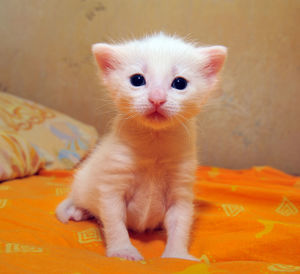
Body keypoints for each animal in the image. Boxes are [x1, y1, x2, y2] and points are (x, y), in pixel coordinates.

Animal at [55, 32, 226, 262]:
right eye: (137, 80)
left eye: (180, 83)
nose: (157, 99)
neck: (154, 143)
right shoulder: (112, 184)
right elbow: (115, 221)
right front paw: (123, 251)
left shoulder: (181, 188)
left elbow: (180, 222)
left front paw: (177, 255)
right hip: (83, 183)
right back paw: (77, 209)